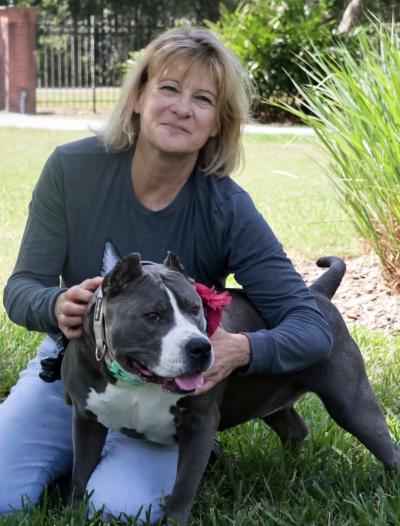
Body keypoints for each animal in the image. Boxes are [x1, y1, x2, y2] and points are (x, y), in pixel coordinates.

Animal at [60, 249, 400, 526]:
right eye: (153, 315)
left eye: (195, 309)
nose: (199, 347)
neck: (135, 380)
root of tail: (316, 293)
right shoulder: (86, 420)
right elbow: (81, 473)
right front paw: (74, 514)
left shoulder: (198, 425)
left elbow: (183, 488)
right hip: (266, 398)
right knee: (294, 427)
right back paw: (290, 467)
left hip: (351, 402)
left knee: (381, 441)